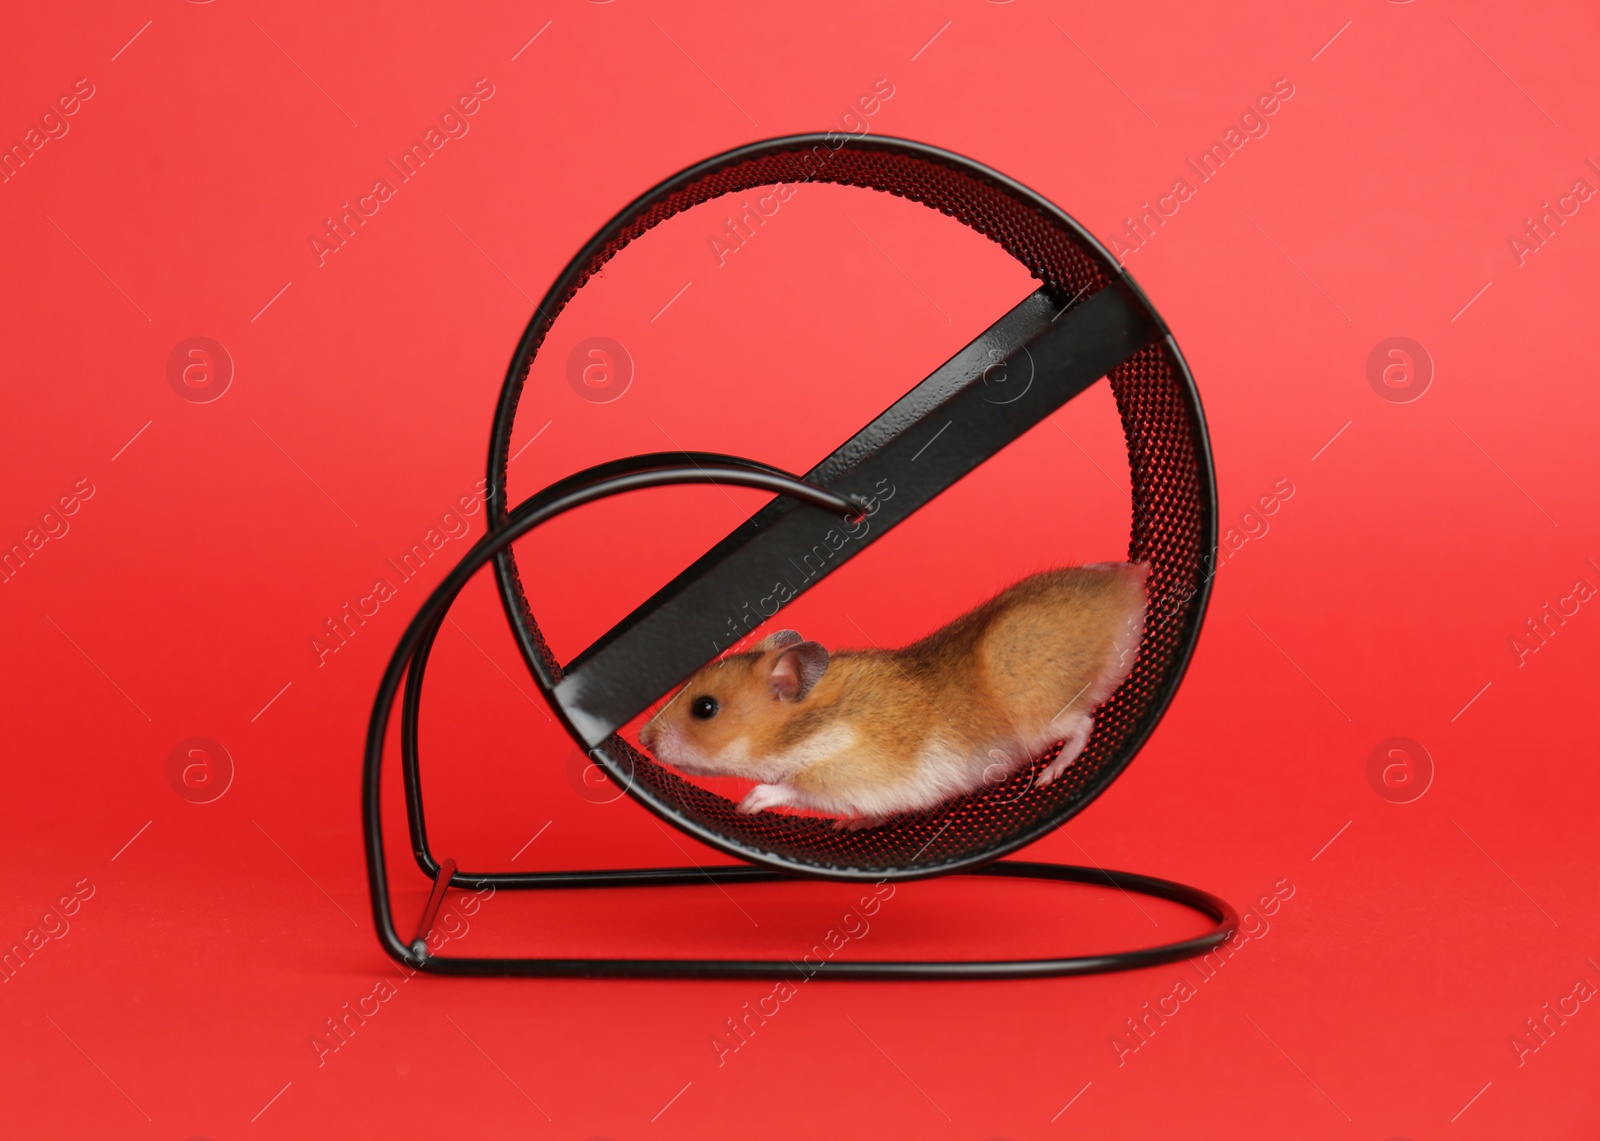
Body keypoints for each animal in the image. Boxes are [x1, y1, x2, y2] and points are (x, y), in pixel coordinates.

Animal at [630, 563, 1145, 825]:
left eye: (705, 708)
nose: (641, 739)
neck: (811, 727)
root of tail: (1131, 585)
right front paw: (849, 825)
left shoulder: (847, 774)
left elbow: (792, 788)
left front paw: (747, 802)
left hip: (1040, 713)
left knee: (1083, 725)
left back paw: (1049, 776)